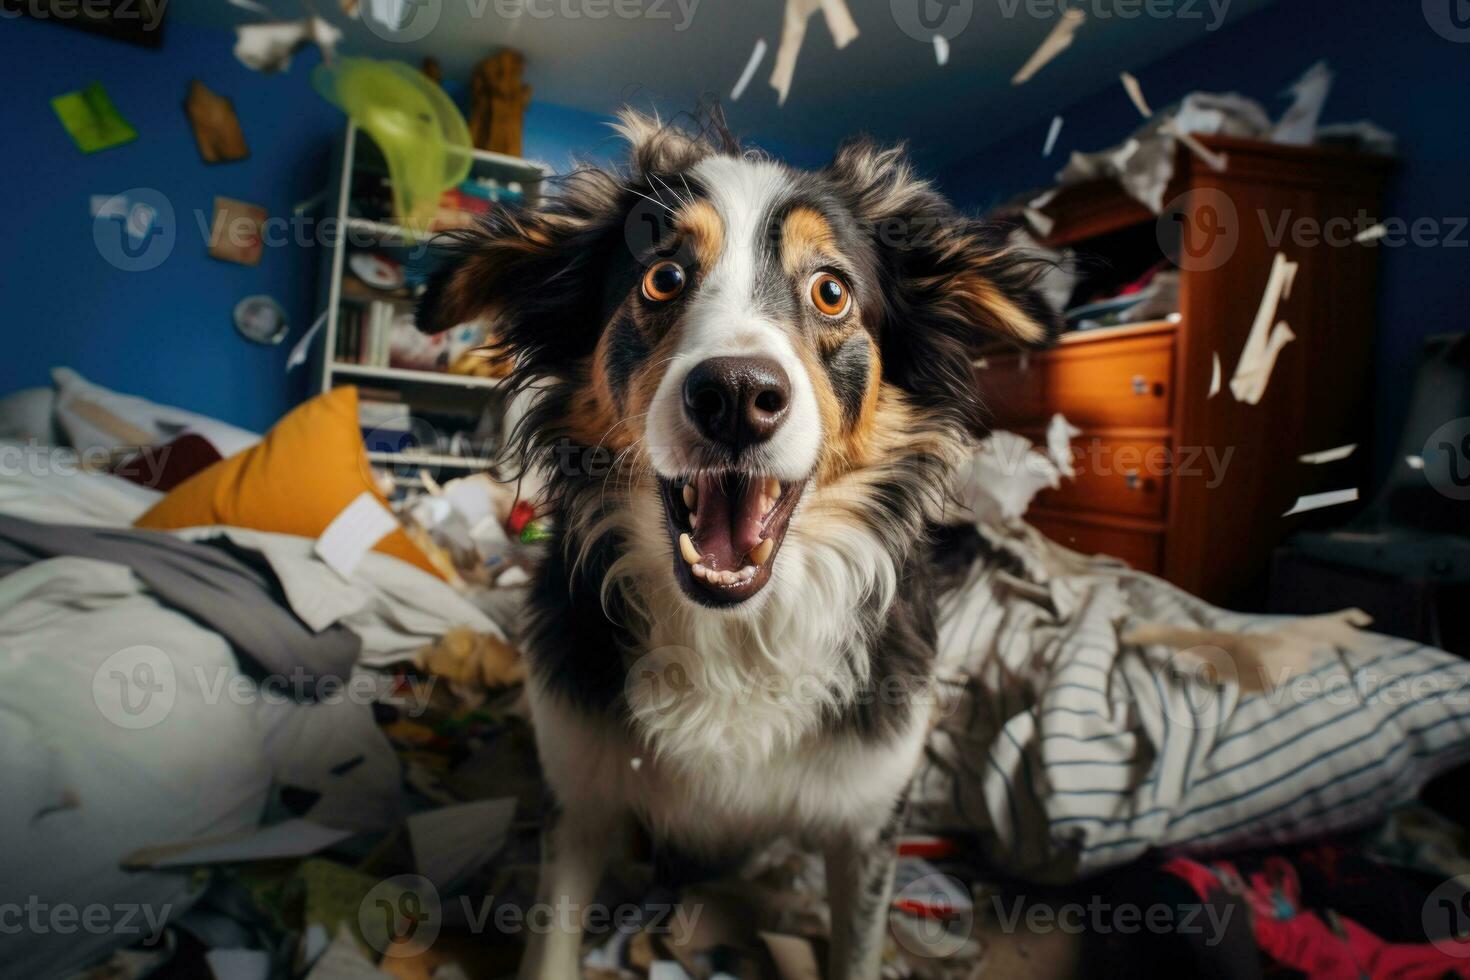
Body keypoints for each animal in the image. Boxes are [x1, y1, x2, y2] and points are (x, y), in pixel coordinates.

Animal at [420, 110, 1052, 975]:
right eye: (662, 279)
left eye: (831, 290)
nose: (737, 396)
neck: (737, 632)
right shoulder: (578, 799)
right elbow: (552, 941)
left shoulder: (868, 822)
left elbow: (857, 948)